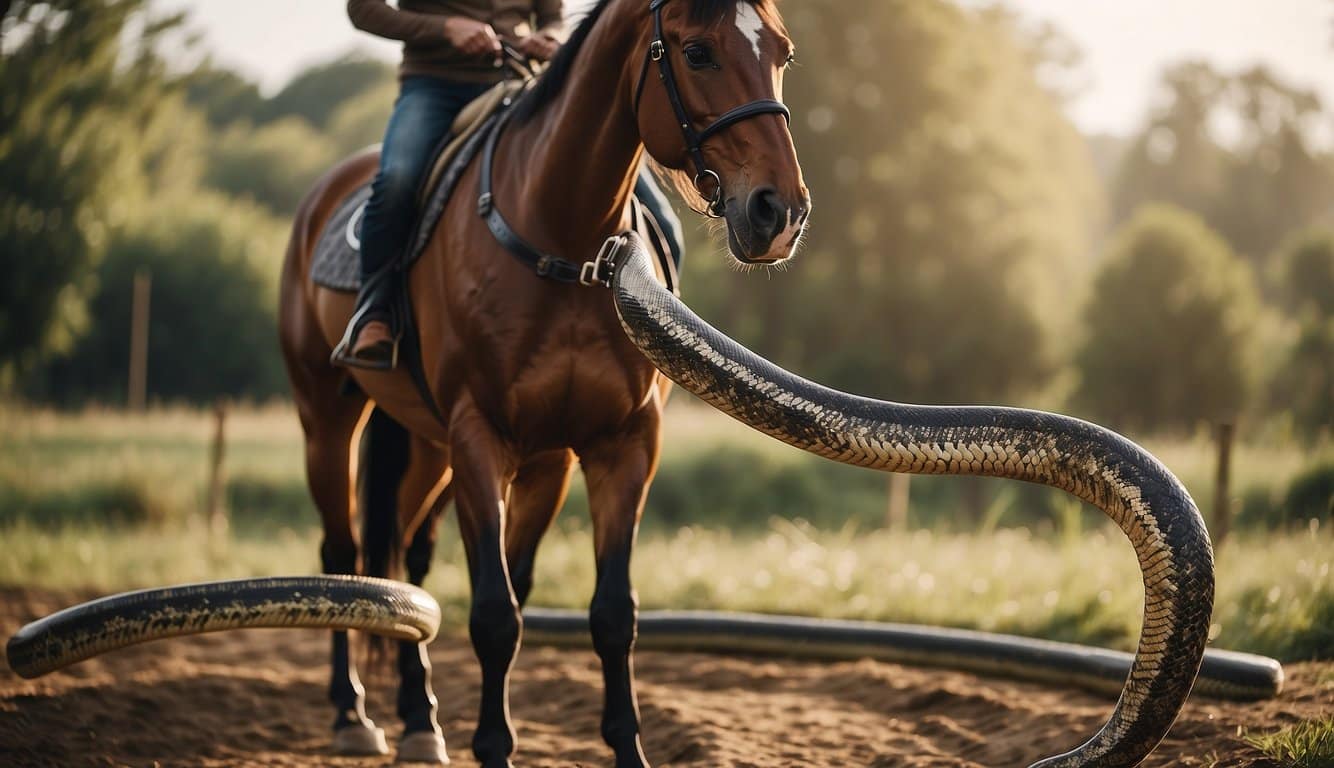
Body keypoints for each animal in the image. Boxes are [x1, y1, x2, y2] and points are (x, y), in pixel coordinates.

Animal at [278, 0, 808, 764]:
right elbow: (495, 614)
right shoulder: (481, 438)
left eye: (783, 54)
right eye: (697, 53)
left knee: (407, 558)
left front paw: (627, 747)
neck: (562, 241)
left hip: (429, 446)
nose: (780, 212)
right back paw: (353, 713)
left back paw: (418, 719)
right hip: (327, 420)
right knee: (344, 555)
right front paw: (494, 744)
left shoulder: (607, 448)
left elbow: (604, 610)